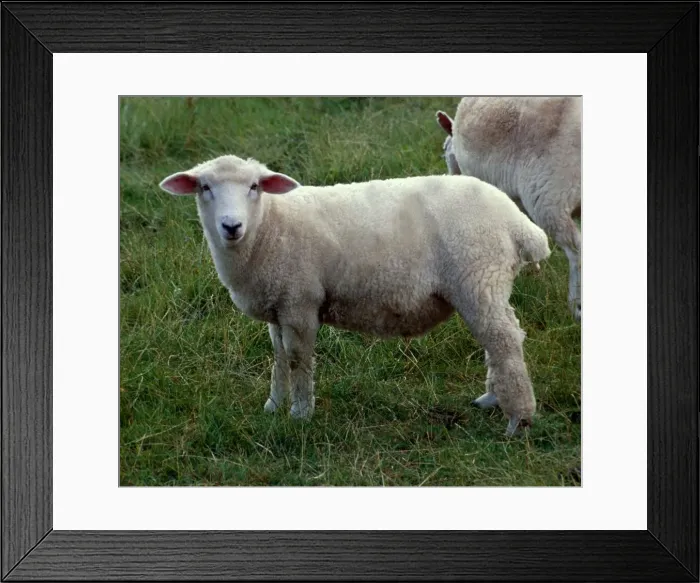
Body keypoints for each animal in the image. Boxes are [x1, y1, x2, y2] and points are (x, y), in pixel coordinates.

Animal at [159, 154, 551, 436]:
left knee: (504, 341)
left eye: (254, 186)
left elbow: (298, 359)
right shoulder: (278, 304)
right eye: (205, 187)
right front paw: (273, 405)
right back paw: (492, 398)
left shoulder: (300, 302)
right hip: (481, 285)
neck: (269, 227)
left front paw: (300, 414)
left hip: (479, 275)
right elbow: (279, 357)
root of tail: (518, 223)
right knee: (497, 342)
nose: (231, 226)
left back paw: (518, 421)